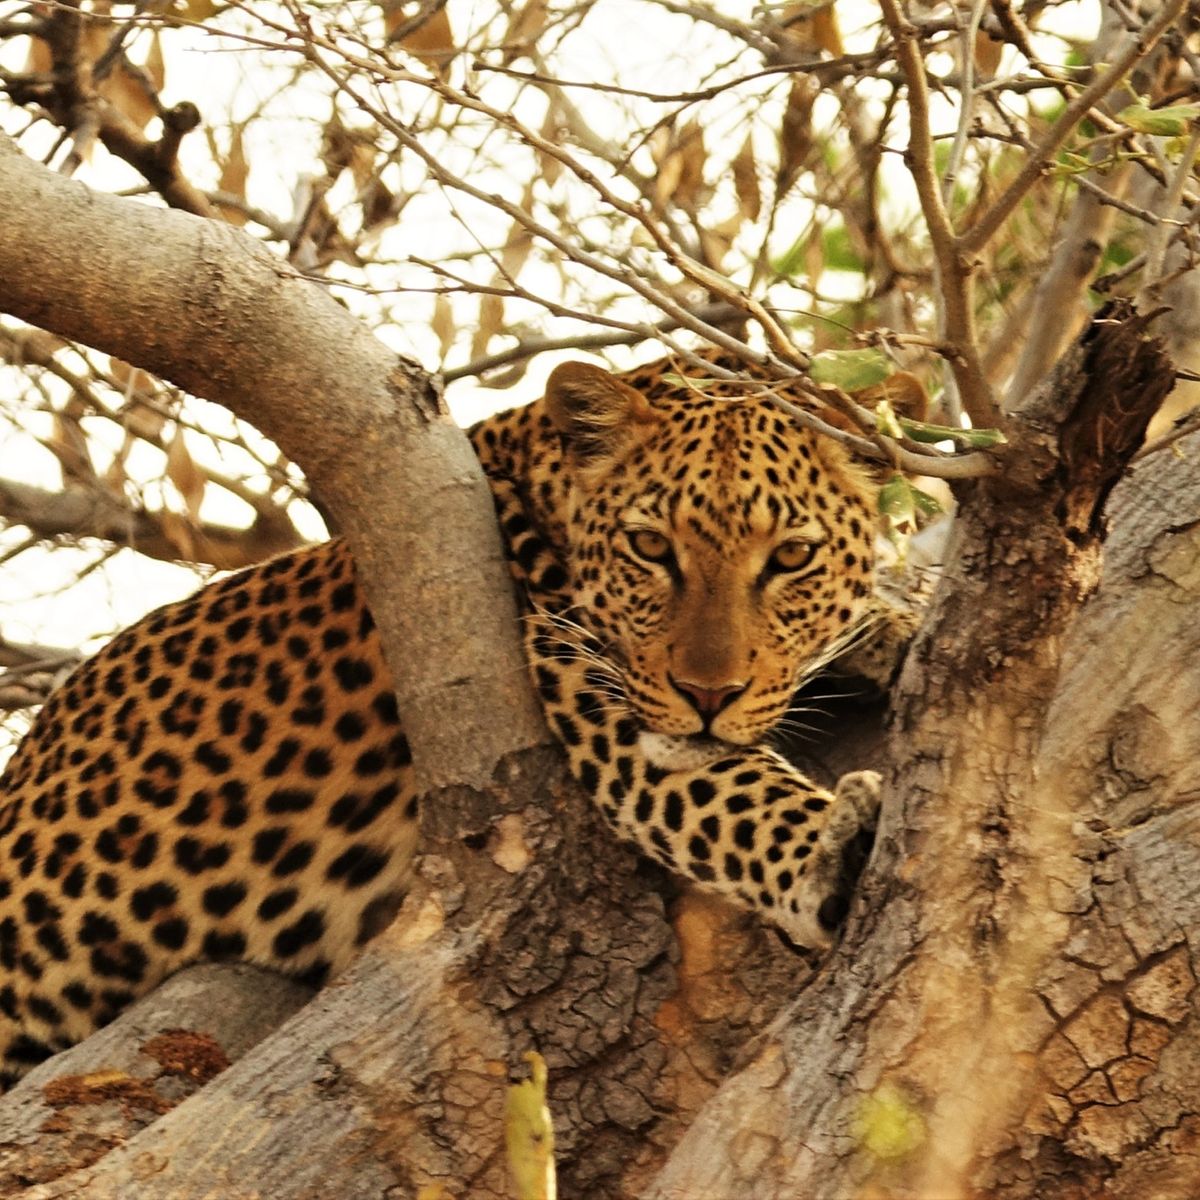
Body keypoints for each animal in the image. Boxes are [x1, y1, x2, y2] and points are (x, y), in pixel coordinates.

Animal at [0, 350, 885, 1087]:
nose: (707, 693)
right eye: (649, 548)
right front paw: (832, 846)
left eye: (792, 558)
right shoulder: (601, 701)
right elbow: (738, 798)